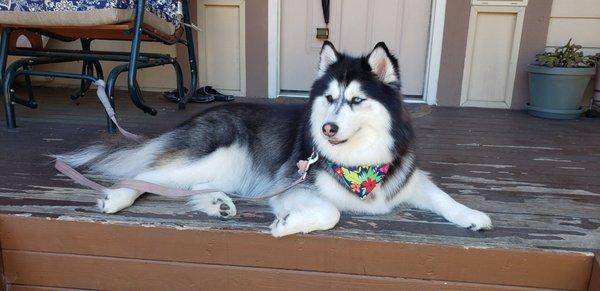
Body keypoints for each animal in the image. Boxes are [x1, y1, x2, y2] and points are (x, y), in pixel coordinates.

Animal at [57, 41, 492, 237]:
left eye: (356, 100)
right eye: (329, 99)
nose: (328, 128)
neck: (359, 166)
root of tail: (205, 111)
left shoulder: (406, 179)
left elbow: (442, 196)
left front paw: (471, 215)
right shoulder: (290, 186)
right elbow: (331, 213)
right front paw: (287, 224)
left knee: (188, 186)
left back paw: (218, 203)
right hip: (223, 153)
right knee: (150, 177)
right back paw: (117, 197)